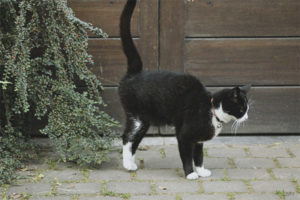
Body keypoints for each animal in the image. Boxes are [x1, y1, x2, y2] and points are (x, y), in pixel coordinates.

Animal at [117, 0, 251, 180]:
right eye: (242, 108)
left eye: (247, 108)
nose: (247, 117)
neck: (211, 110)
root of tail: (135, 73)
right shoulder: (184, 135)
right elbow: (187, 156)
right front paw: (190, 174)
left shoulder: (199, 140)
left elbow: (199, 156)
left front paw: (201, 171)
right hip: (138, 117)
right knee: (127, 137)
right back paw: (127, 164)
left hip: (144, 120)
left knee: (134, 140)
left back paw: (131, 164)